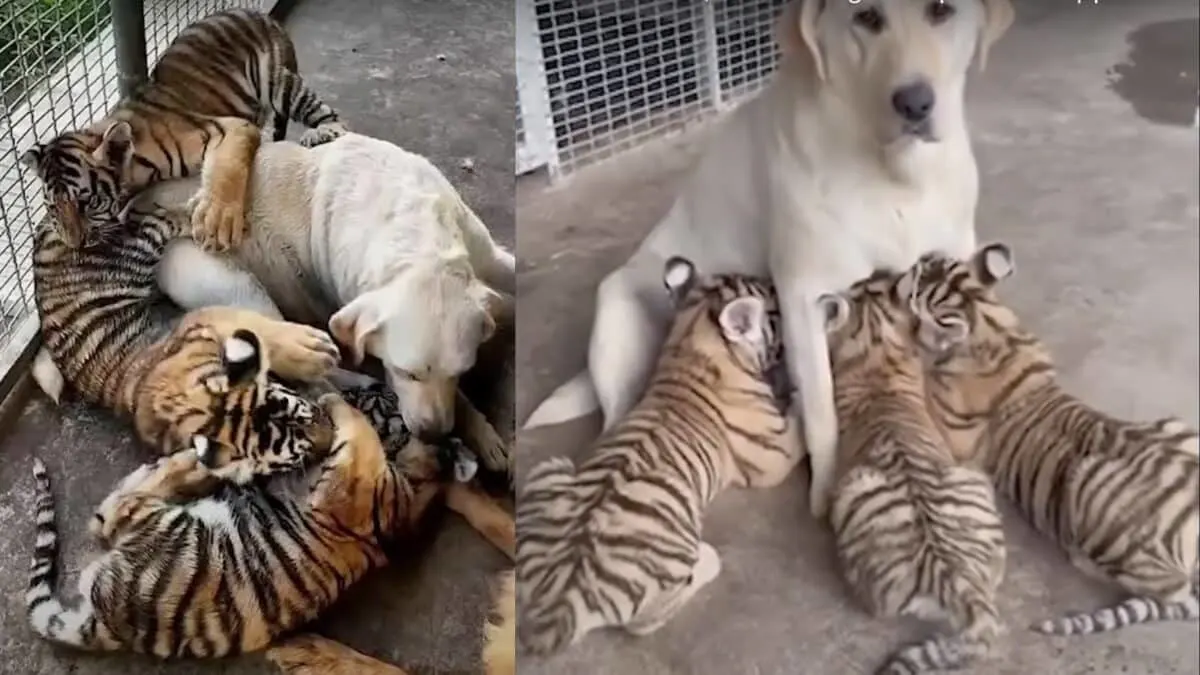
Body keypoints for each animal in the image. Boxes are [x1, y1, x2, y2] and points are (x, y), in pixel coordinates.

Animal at [525, 0, 1012, 521]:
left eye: (941, 11)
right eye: (866, 18)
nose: (915, 104)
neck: (897, 174)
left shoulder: (953, 260)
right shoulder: (805, 296)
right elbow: (821, 411)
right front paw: (826, 493)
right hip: (619, 318)